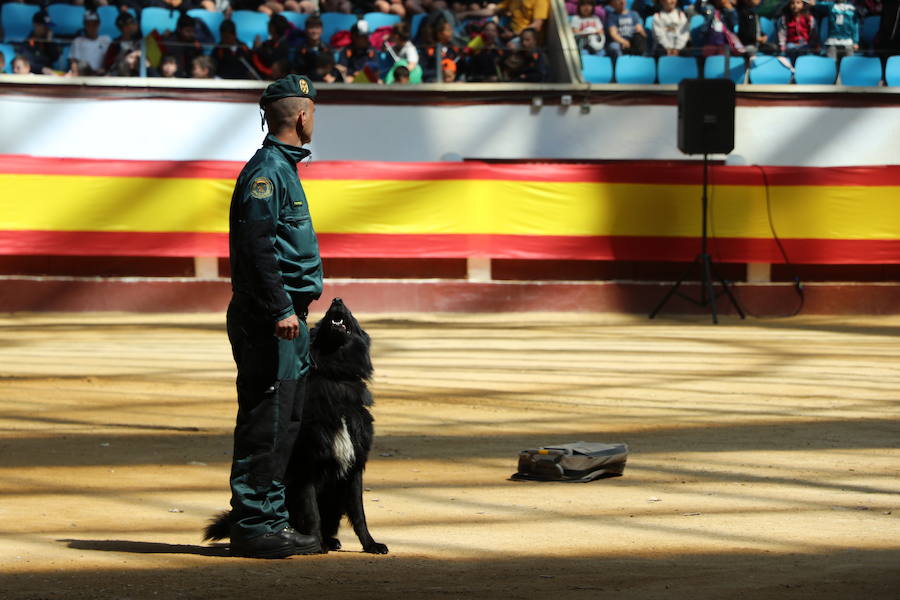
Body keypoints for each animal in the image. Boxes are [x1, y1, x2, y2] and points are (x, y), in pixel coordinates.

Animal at [206, 298, 388, 556]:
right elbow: (312, 514)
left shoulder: (354, 468)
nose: (337, 300)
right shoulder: (306, 468)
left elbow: (359, 514)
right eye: (321, 321)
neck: (334, 375)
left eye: (351, 314)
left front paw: (370, 544)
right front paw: (316, 544)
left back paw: (331, 540)